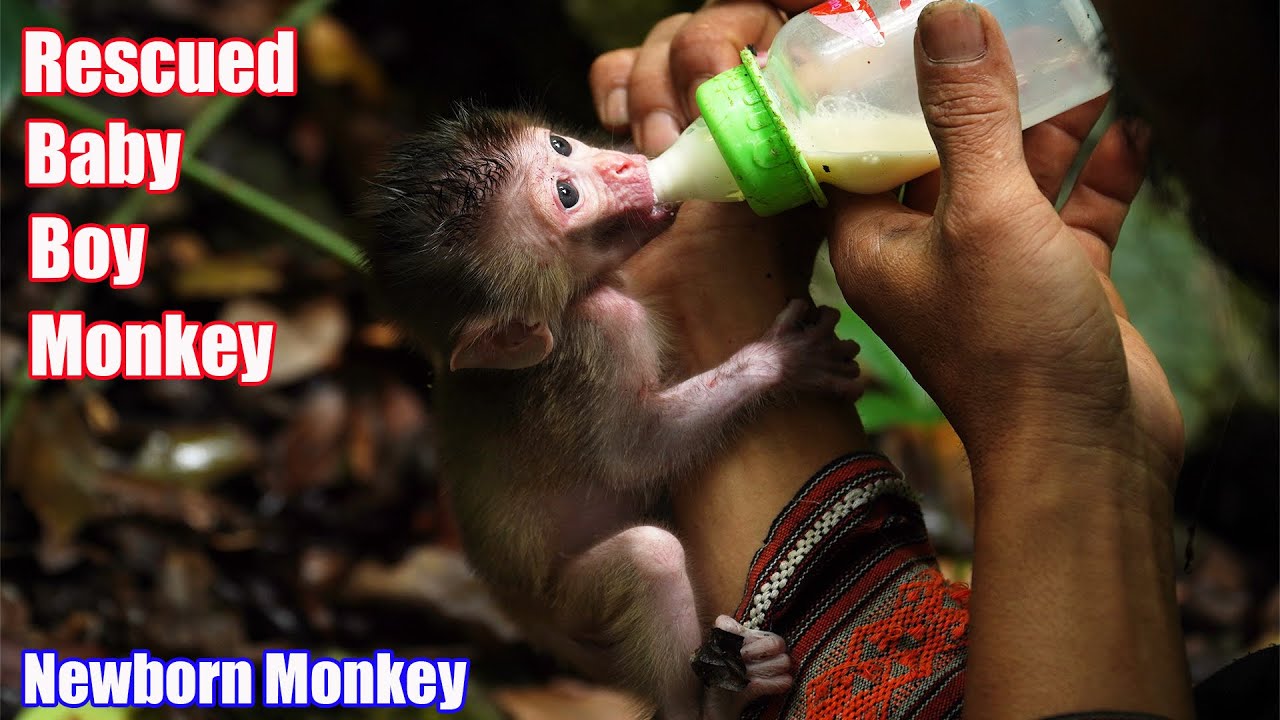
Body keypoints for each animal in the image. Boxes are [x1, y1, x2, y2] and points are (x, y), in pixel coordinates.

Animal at [358, 104, 861, 719]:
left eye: (560, 145)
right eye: (567, 195)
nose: (621, 165)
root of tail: (515, 609)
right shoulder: (604, 324)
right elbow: (633, 456)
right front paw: (782, 362)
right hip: (571, 611)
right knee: (651, 558)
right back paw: (719, 701)